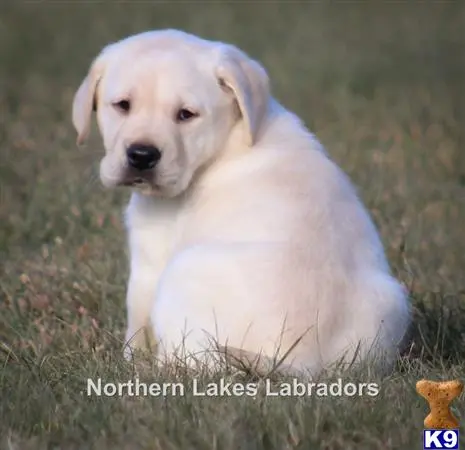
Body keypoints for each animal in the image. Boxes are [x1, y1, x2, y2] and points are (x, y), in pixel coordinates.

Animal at [70, 29, 408, 376]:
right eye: (122, 105)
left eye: (186, 115)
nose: (141, 155)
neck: (228, 142)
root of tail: (301, 363)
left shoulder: (149, 260)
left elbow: (136, 324)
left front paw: (129, 363)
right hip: (392, 298)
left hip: (183, 271)